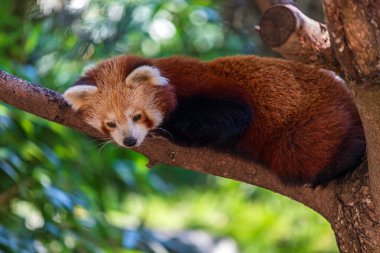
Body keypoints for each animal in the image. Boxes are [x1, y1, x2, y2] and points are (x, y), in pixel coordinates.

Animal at [63, 54, 366, 185]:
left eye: (137, 116)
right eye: (110, 123)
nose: (129, 141)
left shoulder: (208, 87)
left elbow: (235, 115)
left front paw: (173, 131)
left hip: (313, 129)